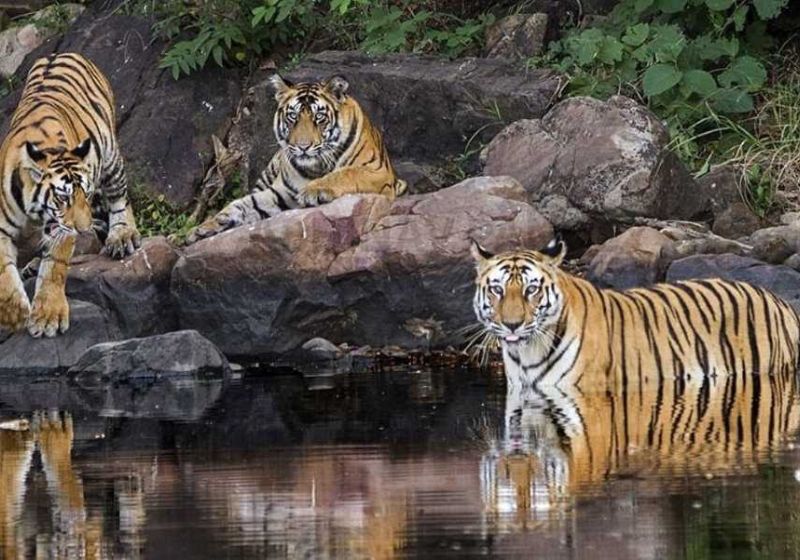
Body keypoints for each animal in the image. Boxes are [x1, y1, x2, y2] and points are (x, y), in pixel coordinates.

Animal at [0, 52, 140, 338]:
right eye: (62, 198)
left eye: (85, 194)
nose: (83, 229)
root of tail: (59, 53)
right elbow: (3, 272)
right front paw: (14, 314)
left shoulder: (61, 229)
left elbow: (55, 266)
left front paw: (48, 317)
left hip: (110, 154)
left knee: (119, 197)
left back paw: (122, 235)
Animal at [186, 73, 406, 244]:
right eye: (293, 116)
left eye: (319, 117)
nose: (303, 147)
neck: (315, 167)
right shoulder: (279, 193)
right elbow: (244, 204)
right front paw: (205, 227)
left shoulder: (378, 172)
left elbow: (346, 173)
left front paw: (313, 190)